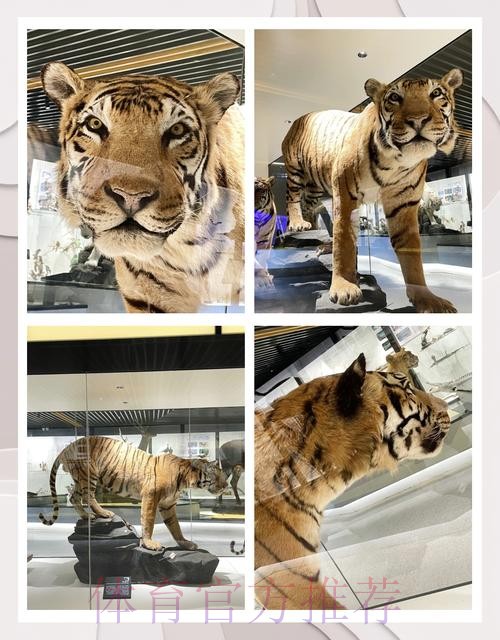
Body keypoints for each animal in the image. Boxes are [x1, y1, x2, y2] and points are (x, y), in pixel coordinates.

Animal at [39, 436, 227, 551]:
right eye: (217, 475)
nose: (225, 486)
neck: (185, 478)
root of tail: (66, 448)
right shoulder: (151, 497)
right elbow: (148, 522)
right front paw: (149, 543)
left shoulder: (168, 505)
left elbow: (175, 526)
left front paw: (185, 543)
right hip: (88, 475)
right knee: (87, 496)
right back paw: (104, 513)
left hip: (80, 479)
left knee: (74, 497)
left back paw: (87, 516)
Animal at [282, 69, 463, 313]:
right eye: (394, 97)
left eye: (435, 93)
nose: (417, 120)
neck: (397, 162)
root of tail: (299, 118)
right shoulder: (345, 196)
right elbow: (344, 242)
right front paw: (344, 287)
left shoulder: (404, 205)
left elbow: (412, 253)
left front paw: (427, 299)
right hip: (294, 169)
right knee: (292, 199)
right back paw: (297, 224)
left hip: (313, 187)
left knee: (309, 205)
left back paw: (313, 232)